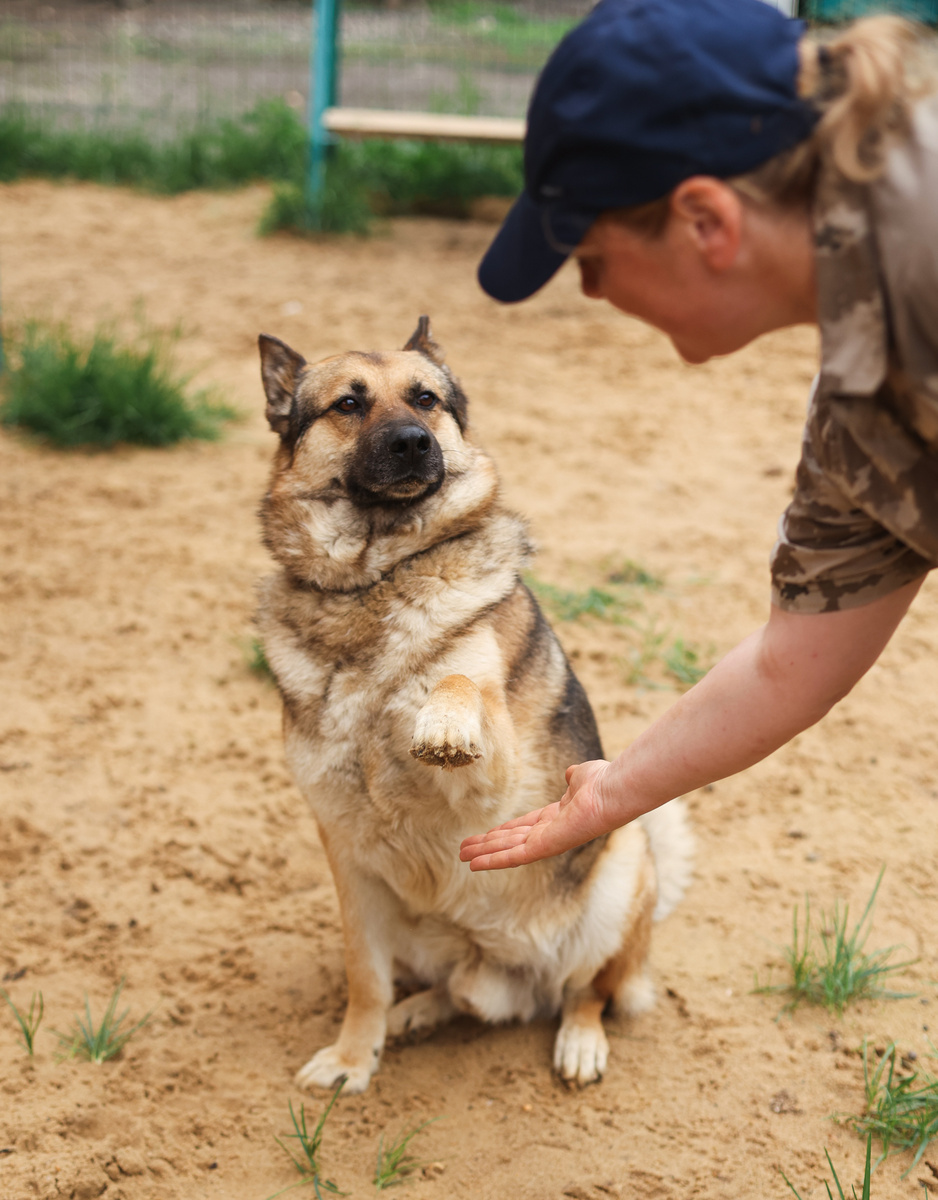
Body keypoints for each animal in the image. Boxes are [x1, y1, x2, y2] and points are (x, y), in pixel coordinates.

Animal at [253, 319, 695, 1099]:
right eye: (348, 404)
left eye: (426, 399)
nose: (412, 443)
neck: (378, 576)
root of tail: (514, 973)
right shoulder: (348, 858)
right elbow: (364, 978)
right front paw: (352, 1057)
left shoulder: (494, 778)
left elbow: (458, 681)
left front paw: (441, 718)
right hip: (428, 938)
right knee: (463, 994)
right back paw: (416, 1014)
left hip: (620, 873)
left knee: (588, 992)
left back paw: (579, 1041)